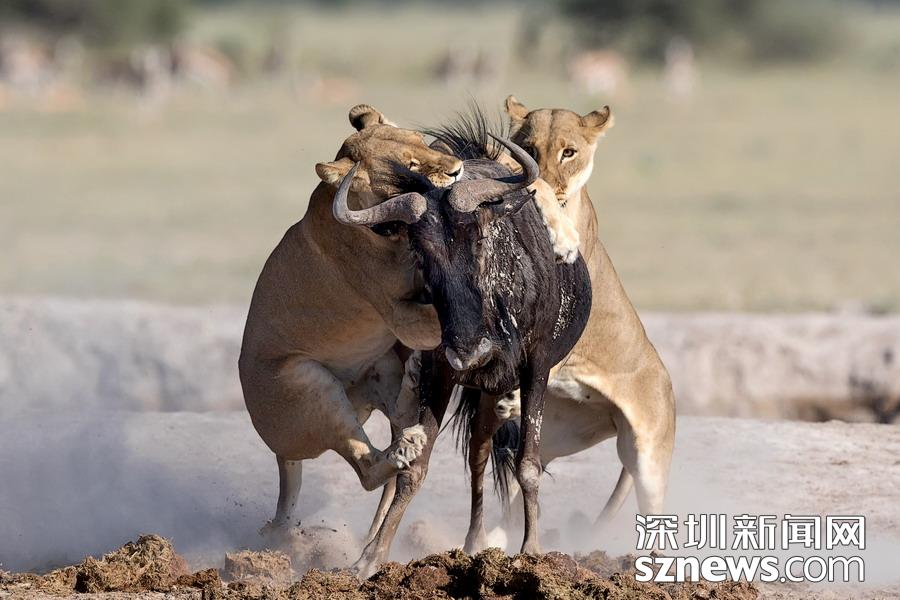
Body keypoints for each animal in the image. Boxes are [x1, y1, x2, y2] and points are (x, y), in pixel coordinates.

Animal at [330, 125, 592, 575]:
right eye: (421, 253)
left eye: (480, 238)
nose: (471, 351)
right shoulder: (440, 370)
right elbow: (415, 468)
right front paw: (371, 559)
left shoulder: (536, 368)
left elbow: (529, 464)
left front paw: (532, 551)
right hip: (475, 389)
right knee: (473, 455)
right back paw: (461, 544)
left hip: (498, 387)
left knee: (485, 455)